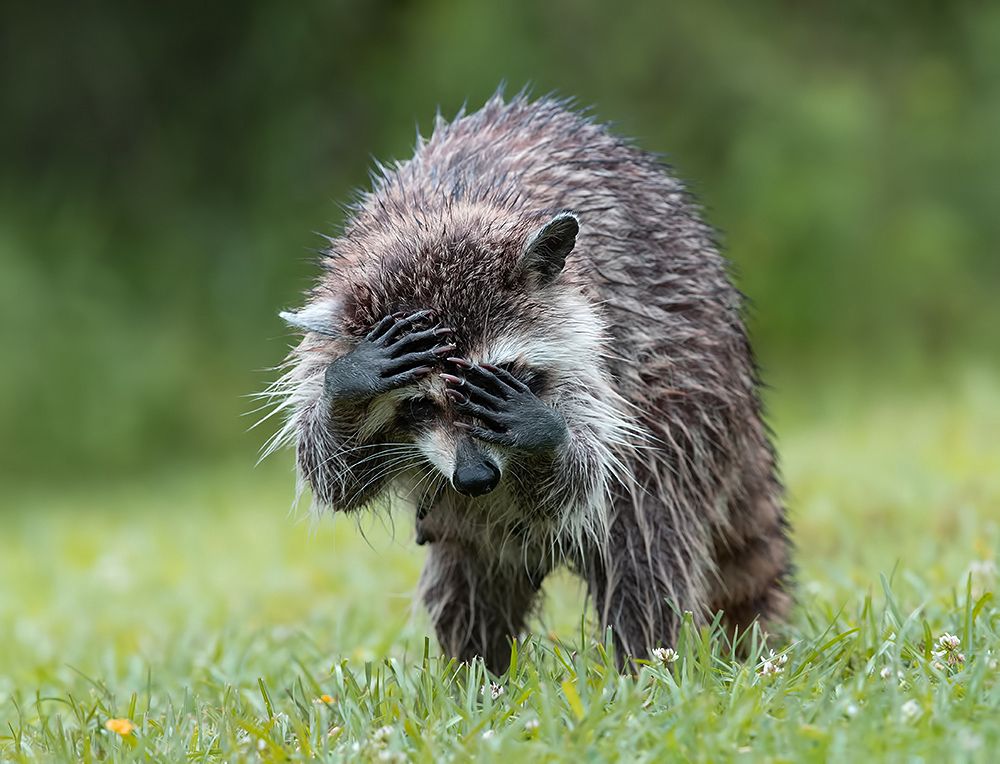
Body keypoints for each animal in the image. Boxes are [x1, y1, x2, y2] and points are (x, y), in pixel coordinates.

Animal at [267, 92, 791, 673]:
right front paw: (351, 383)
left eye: (501, 376)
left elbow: (587, 470)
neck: (442, 212)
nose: (476, 477)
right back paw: (476, 673)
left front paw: (543, 430)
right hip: (470, 528)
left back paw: (645, 664)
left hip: (691, 390)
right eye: (418, 406)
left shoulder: (600, 335)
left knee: (645, 537)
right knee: (467, 585)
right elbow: (335, 475)